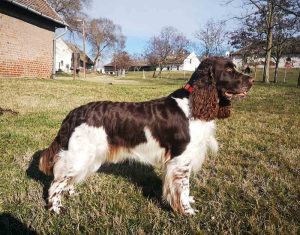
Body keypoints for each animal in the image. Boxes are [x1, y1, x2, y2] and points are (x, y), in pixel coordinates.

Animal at [38, 56, 253, 215]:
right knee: (56, 183)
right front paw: (187, 211)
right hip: (80, 154)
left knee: (66, 179)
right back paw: (56, 208)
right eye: (229, 70)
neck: (193, 103)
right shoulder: (181, 160)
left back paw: (71, 193)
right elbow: (183, 187)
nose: (251, 80)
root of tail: (75, 113)